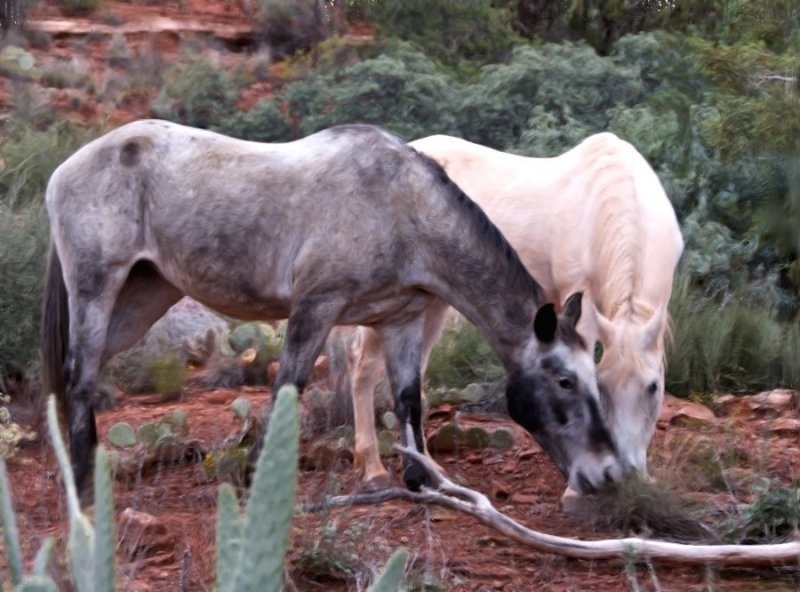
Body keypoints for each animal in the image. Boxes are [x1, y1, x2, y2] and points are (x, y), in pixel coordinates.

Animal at [39, 121, 624, 500]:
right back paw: (85, 487)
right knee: (80, 377)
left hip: (141, 299)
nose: (607, 473)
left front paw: (417, 478)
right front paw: (257, 478)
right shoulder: (315, 308)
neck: (402, 210)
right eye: (565, 381)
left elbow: (409, 398)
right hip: (98, 289)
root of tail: (65, 169)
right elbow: (287, 388)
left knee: (82, 376)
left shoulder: (401, 321)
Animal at [350, 132, 680, 492]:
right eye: (601, 387)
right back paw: (372, 467)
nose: (629, 475)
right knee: (364, 368)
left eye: (653, 387)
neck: (614, 196)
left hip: (433, 302)